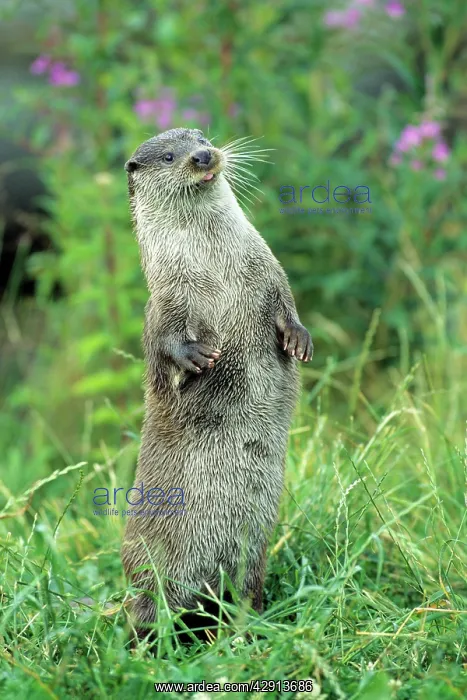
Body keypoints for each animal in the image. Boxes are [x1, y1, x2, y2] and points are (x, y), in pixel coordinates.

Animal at [121, 127, 312, 639]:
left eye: (201, 137)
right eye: (170, 156)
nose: (204, 156)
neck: (215, 265)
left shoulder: (267, 269)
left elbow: (287, 304)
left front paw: (299, 338)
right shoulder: (166, 297)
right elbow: (162, 342)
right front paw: (197, 358)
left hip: (251, 558)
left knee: (244, 591)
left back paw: (247, 626)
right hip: (150, 569)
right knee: (147, 612)